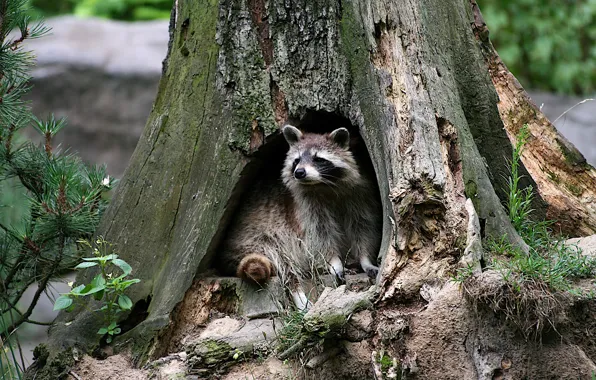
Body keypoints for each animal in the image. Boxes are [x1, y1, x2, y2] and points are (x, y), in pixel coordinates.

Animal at [219, 124, 382, 308]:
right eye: (296, 160)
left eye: (318, 159)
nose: (299, 172)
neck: (324, 185)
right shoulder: (304, 207)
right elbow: (319, 236)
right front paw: (334, 261)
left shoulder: (360, 195)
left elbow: (363, 226)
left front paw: (365, 259)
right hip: (259, 239)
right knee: (284, 264)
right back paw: (298, 294)